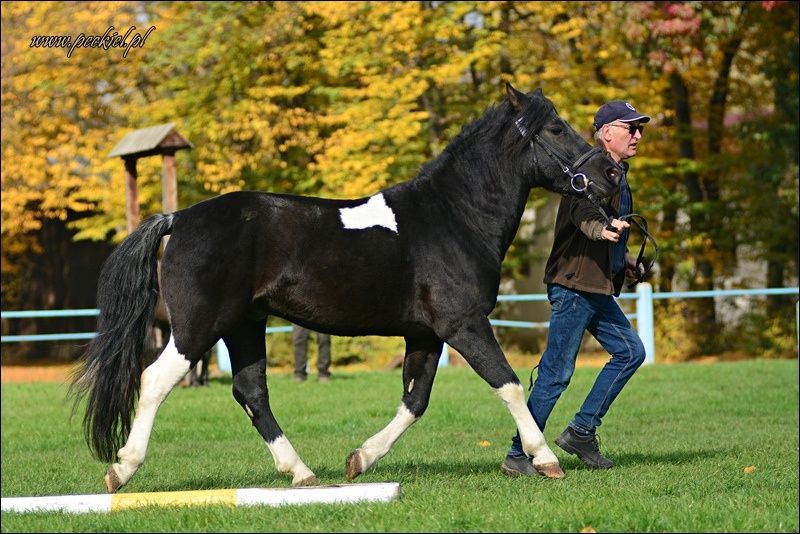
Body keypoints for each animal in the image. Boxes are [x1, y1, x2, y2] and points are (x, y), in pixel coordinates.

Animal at [70, 85, 620, 494]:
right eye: (555, 128)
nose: (610, 173)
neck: (453, 217)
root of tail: (179, 217)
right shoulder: (464, 324)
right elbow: (507, 384)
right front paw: (545, 459)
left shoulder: (425, 335)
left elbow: (415, 401)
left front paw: (360, 460)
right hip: (198, 327)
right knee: (155, 380)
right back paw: (122, 469)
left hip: (244, 325)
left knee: (251, 392)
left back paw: (302, 472)